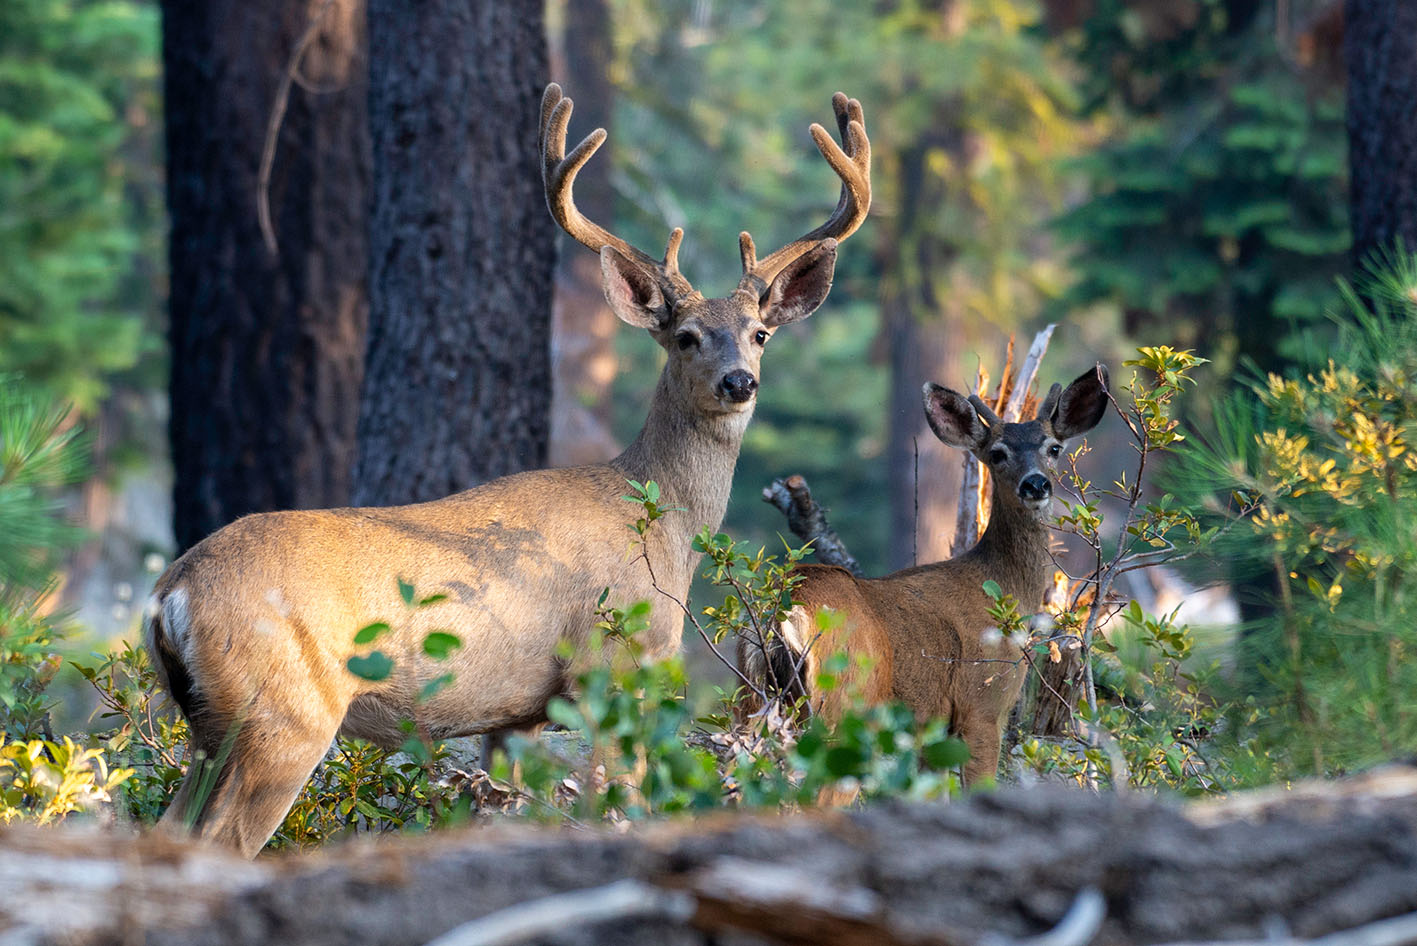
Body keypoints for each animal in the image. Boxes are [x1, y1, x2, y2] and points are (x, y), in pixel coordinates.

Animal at [146, 83, 872, 855]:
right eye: (685, 337)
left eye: (759, 334)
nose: (739, 381)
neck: (662, 526)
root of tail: (170, 593)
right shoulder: (611, 667)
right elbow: (621, 803)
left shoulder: (514, 717)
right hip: (283, 713)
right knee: (220, 839)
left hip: (211, 728)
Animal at [742, 365, 1105, 787]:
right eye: (997, 453)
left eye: (1054, 448)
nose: (1035, 484)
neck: (1003, 590)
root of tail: (785, 612)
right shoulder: (982, 704)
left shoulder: (932, 729)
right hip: (842, 696)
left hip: (753, 696)